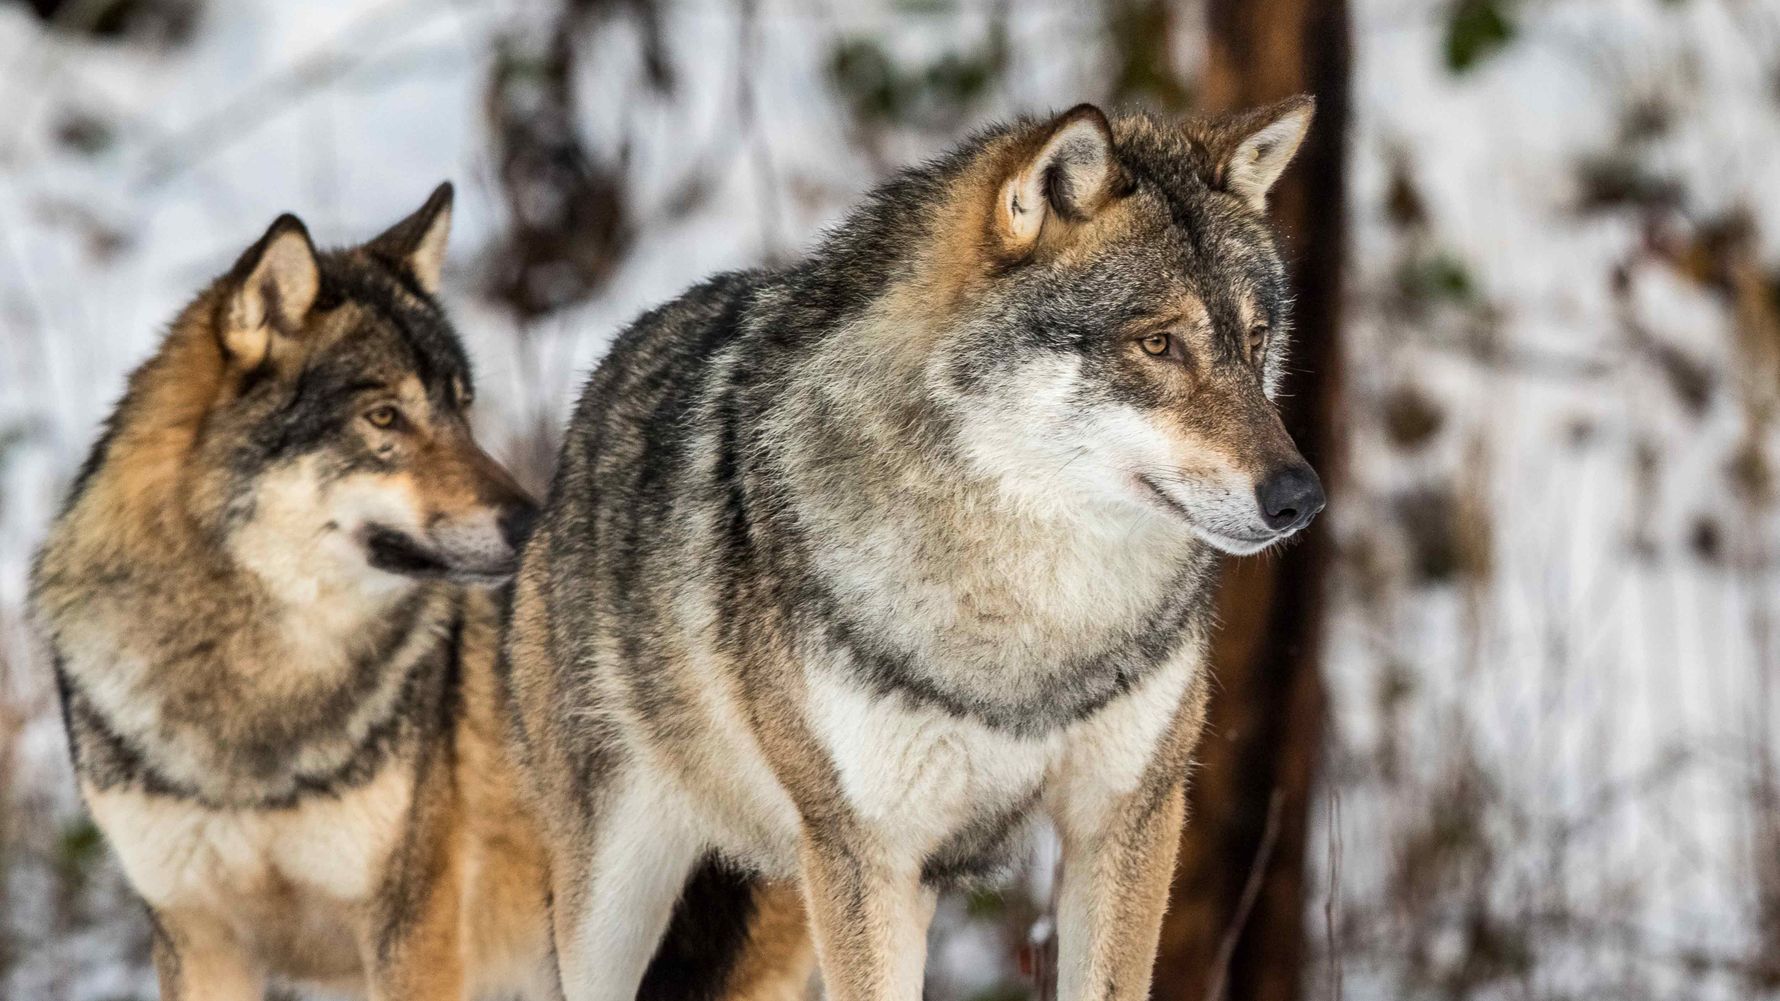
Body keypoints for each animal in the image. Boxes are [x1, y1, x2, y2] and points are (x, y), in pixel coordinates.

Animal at [29, 187, 811, 1001]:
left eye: (462, 409)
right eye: (385, 417)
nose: (536, 522)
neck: (256, 695)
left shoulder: (411, 928)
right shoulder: (195, 933)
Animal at [503, 95, 1325, 1001]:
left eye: (1256, 341)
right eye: (1157, 343)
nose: (1300, 496)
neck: (1032, 611)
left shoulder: (1128, 817)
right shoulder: (867, 852)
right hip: (618, 902)